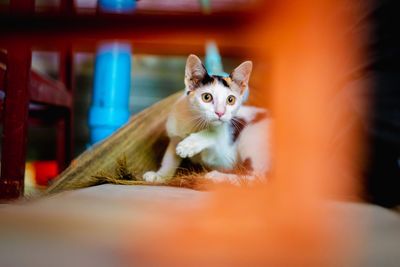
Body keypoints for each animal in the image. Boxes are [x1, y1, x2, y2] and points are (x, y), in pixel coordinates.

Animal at [142, 54, 270, 184]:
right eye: (207, 97)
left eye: (230, 100)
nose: (220, 112)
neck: (196, 122)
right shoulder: (174, 136)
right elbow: (169, 159)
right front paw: (160, 175)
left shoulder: (225, 156)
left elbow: (212, 134)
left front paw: (188, 145)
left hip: (249, 136)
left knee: (259, 178)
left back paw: (216, 177)